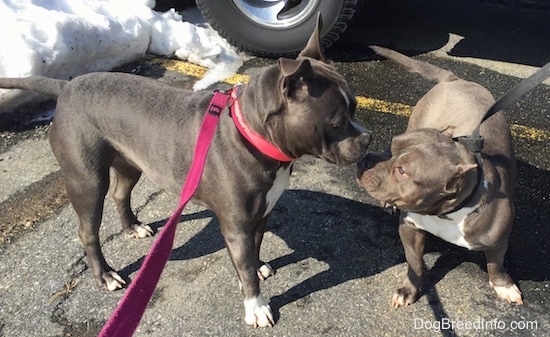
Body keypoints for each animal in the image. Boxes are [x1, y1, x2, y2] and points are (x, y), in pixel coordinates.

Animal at [0, 17, 374, 326]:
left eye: (355, 106)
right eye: (336, 122)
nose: (368, 139)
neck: (251, 133)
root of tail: (66, 88)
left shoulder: (261, 214)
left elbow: (254, 250)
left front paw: (259, 266)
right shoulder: (236, 225)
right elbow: (245, 269)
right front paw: (255, 307)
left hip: (130, 163)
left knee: (121, 194)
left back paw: (133, 227)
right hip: (87, 180)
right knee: (88, 231)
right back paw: (105, 275)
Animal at [358, 46, 528, 306]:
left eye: (402, 170)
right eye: (393, 145)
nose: (364, 159)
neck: (446, 213)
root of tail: (454, 79)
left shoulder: (498, 241)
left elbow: (496, 265)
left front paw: (503, 286)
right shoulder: (409, 227)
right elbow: (414, 262)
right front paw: (408, 289)